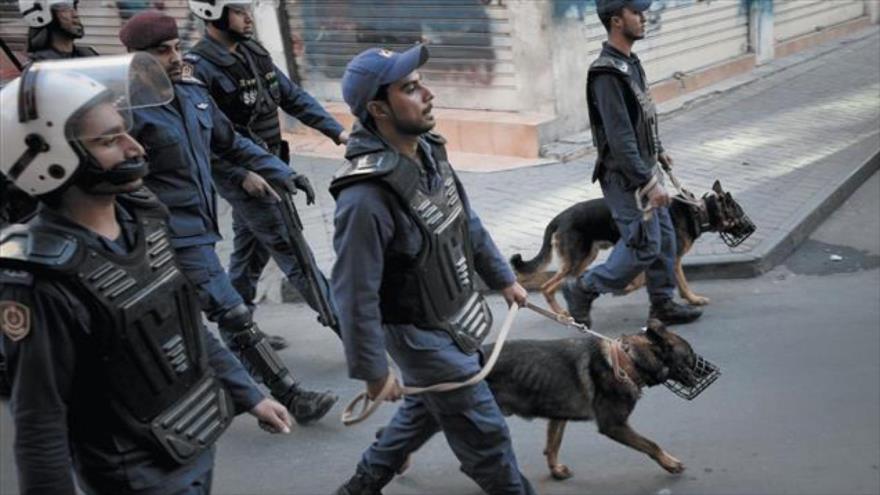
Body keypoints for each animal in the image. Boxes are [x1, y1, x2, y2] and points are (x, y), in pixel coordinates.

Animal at [484, 320, 696, 478]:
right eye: (690, 357)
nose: (701, 374)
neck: (627, 360)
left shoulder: (559, 415)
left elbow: (553, 444)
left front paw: (555, 470)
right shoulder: (613, 425)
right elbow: (651, 444)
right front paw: (670, 463)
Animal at [512, 180, 752, 316]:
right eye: (740, 213)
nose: (753, 227)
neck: (697, 211)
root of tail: (557, 219)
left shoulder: (662, 258)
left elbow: (652, 279)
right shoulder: (670, 258)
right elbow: (677, 282)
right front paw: (693, 299)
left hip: (586, 257)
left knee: (565, 282)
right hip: (576, 260)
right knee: (547, 287)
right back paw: (562, 312)